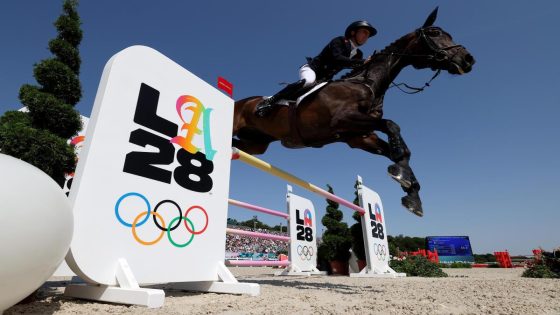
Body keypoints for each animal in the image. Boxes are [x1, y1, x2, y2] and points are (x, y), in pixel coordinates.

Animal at [230, 8, 474, 218]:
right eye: (434, 33)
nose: (468, 59)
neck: (367, 84)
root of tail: (240, 102)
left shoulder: (360, 137)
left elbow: (400, 150)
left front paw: (410, 191)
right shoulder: (343, 121)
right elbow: (392, 125)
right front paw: (403, 177)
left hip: (256, 144)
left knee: (239, 146)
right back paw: (263, 106)